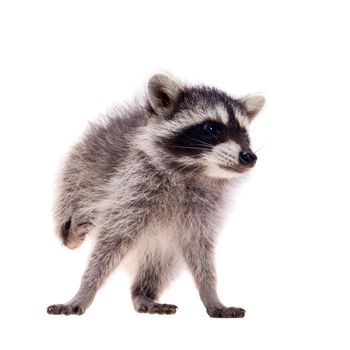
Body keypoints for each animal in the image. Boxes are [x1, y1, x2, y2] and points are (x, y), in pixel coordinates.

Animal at [47, 73, 266, 318]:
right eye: (211, 128)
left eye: (245, 134)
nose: (249, 156)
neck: (193, 172)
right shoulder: (131, 187)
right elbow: (110, 242)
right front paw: (85, 290)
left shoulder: (203, 212)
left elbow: (200, 251)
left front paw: (211, 295)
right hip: (76, 173)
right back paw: (72, 233)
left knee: (158, 265)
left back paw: (143, 292)